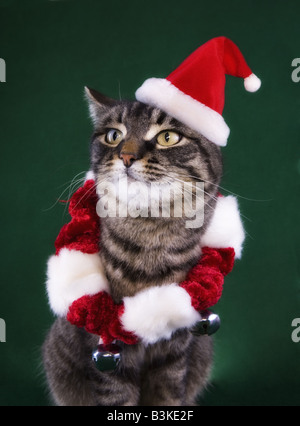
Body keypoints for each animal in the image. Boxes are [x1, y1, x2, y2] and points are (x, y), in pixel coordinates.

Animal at [42, 87, 223, 406]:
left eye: (168, 137)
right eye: (113, 135)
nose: (126, 156)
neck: (150, 235)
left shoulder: (176, 344)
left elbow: (166, 394)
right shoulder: (106, 346)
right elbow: (116, 395)